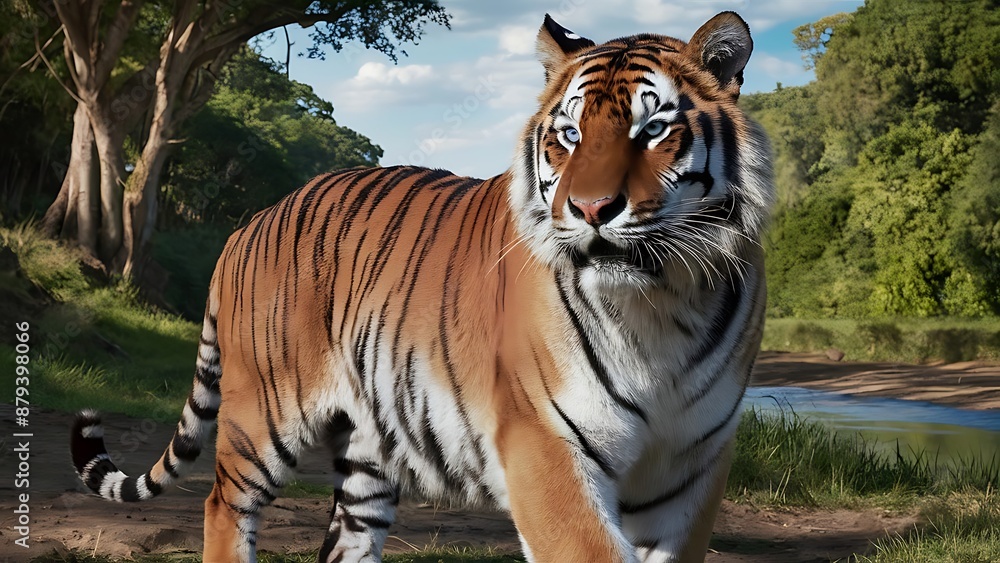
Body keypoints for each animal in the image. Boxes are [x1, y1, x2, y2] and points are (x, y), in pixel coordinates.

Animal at [71, 10, 772, 563]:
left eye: (653, 130)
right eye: (569, 135)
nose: (591, 209)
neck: (662, 302)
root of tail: (249, 223)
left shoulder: (693, 465)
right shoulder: (546, 447)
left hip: (367, 452)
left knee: (345, 540)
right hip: (261, 414)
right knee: (223, 505)